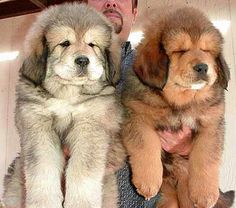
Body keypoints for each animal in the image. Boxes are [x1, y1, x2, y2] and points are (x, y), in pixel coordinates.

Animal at [2, 2, 126, 208]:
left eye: (92, 45)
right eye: (65, 43)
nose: (83, 60)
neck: (67, 95)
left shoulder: (90, 127)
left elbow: (81, 172)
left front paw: (81, 203)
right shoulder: (38, 126)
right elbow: (43, 170)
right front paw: (44, 203)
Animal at [121, 6, 234, 208]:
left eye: (206, 50)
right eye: (180, 51)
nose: (203, 67)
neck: (181, 102)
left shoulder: (211, 124)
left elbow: (206, 156)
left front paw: (205, 194)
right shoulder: (136, 116)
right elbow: (146, 146)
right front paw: (148, 182)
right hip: (167, 197)